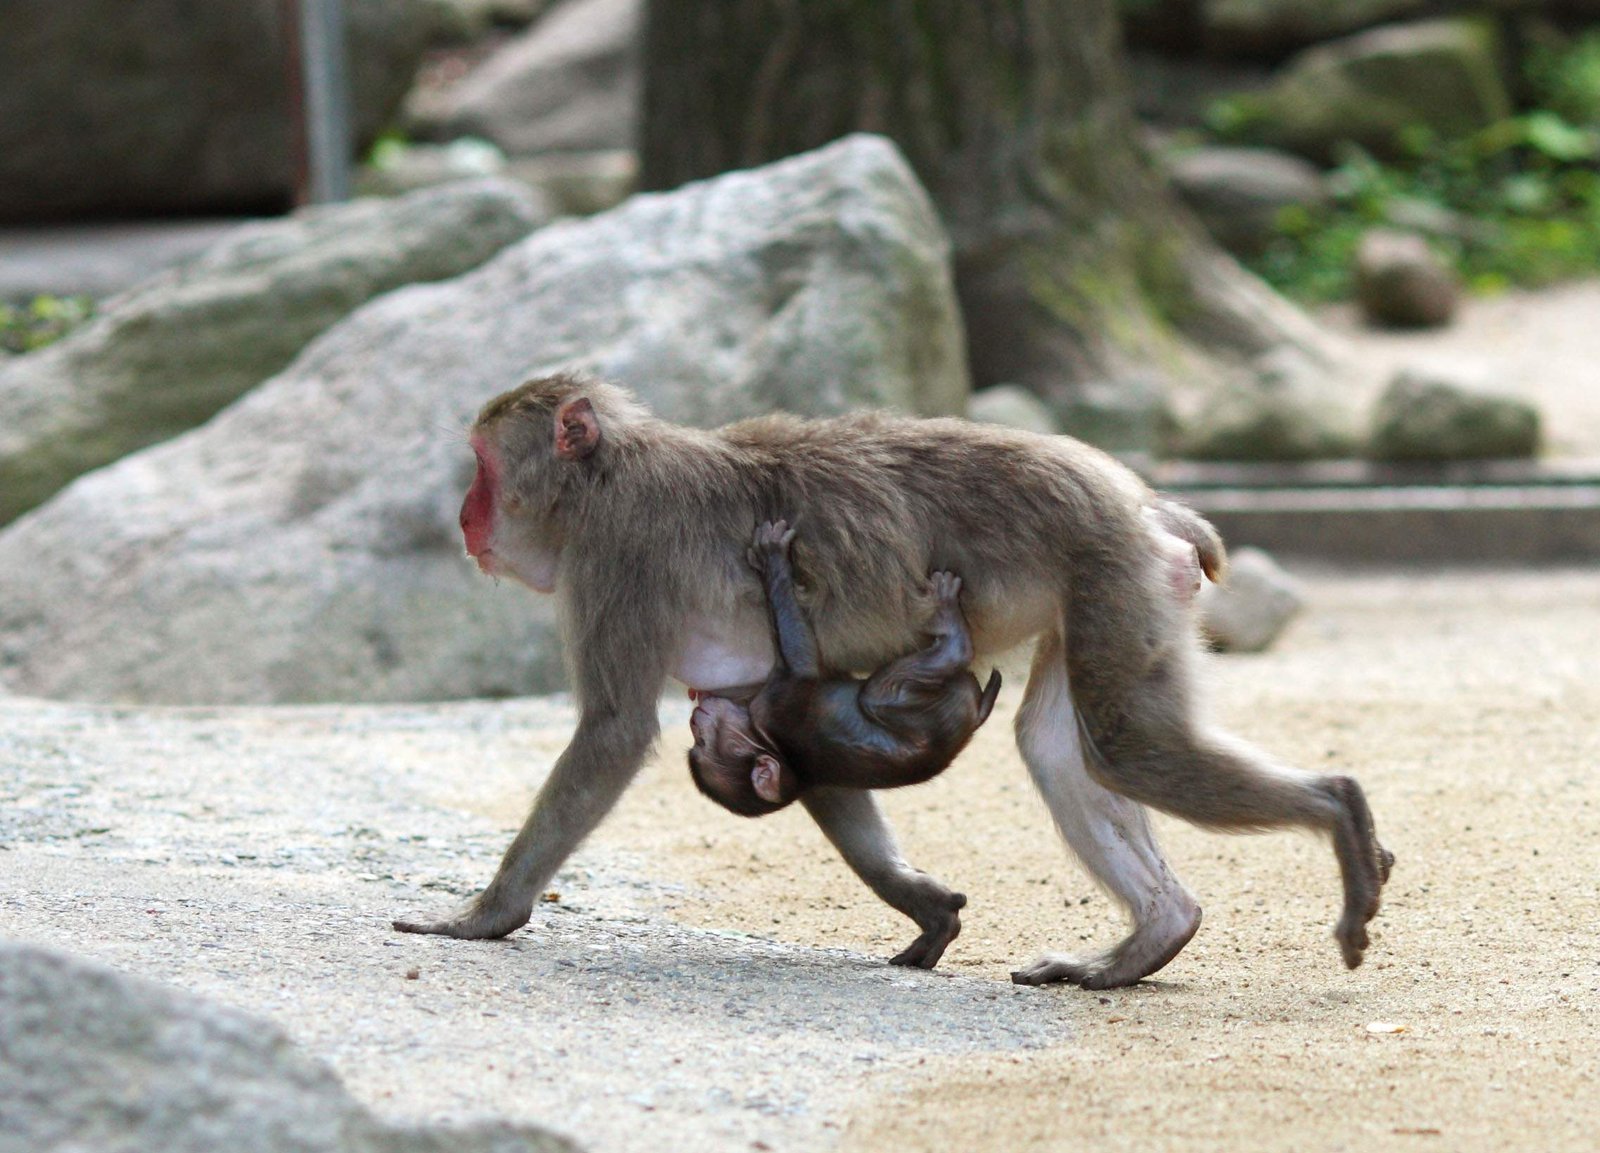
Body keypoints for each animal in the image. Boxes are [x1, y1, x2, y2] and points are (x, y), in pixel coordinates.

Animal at [688, 519, 1003, 818]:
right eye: (701, 742)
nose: (694, 721)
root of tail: (975, 715)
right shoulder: (771, 713)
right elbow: (802, 670)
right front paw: (773, 558)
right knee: (878, 694)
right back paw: (949, 624)